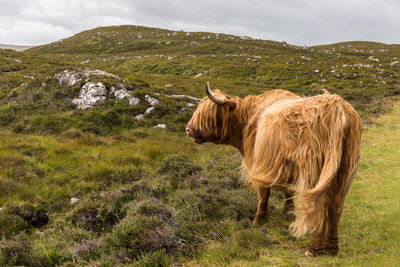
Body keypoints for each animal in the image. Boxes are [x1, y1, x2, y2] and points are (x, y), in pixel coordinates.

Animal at [188, 82, 362, 258]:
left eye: (208, 113)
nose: (188, 129)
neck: (247, 120)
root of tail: (336, 106)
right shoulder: (287, 168)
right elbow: (288, 191)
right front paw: (288, 213)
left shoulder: (258, 163)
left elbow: (263, 194)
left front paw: (258, 220)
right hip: (344, 169)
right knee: (336, 205)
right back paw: (332, 248)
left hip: (315, 169)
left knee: (318, 204)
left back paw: (313, 248)